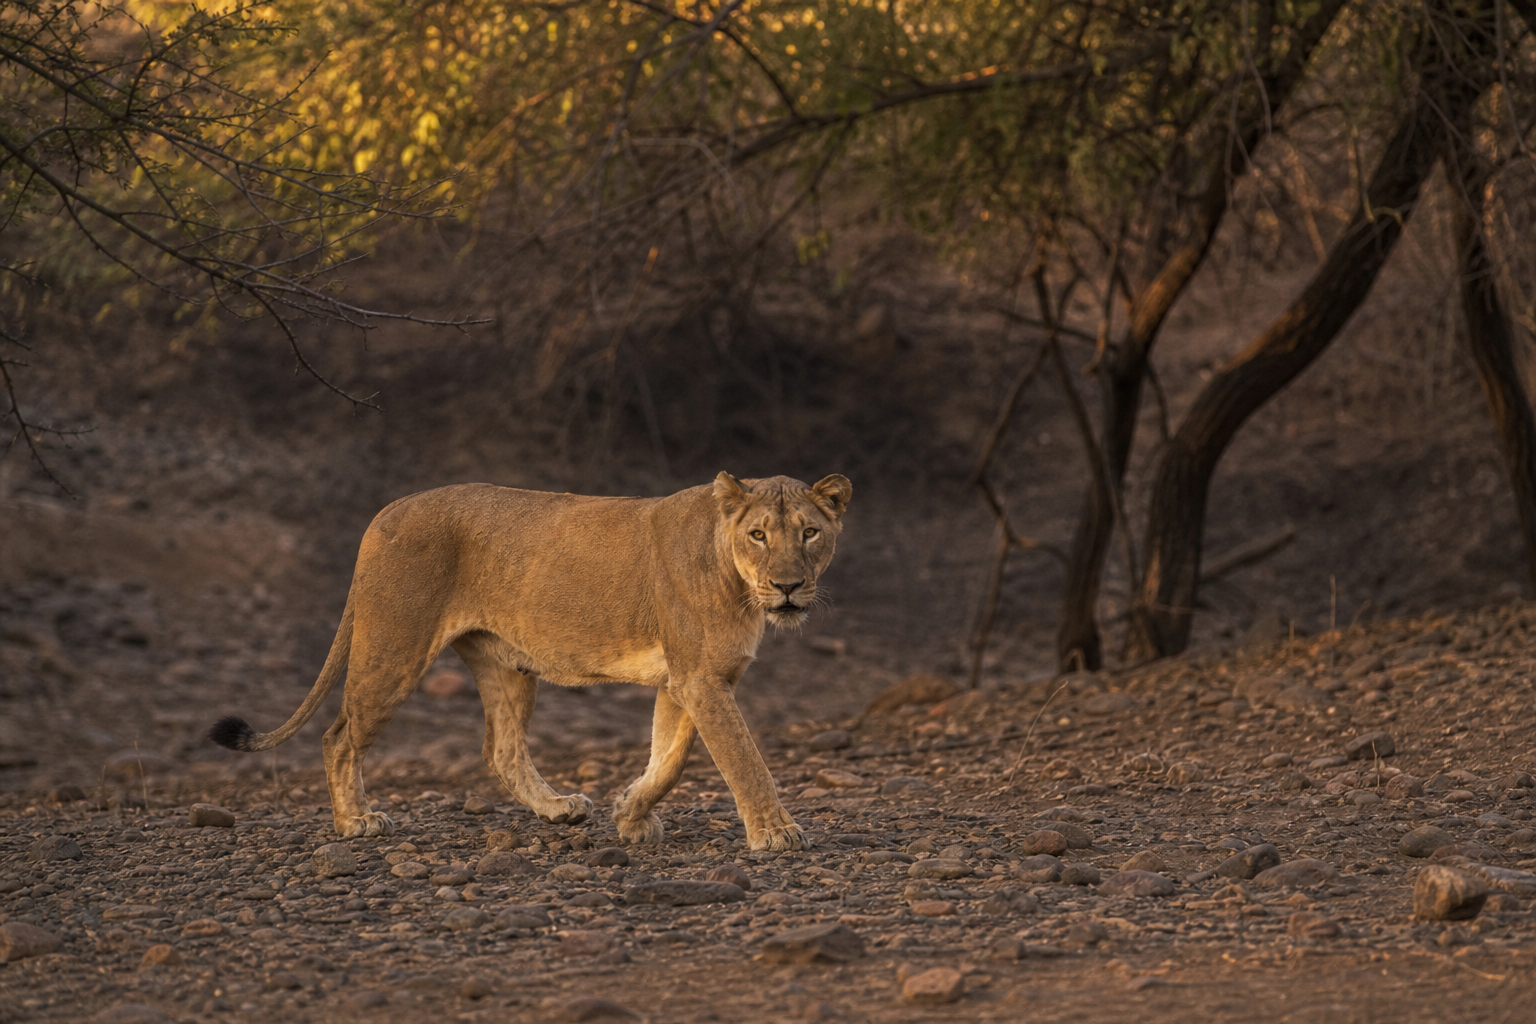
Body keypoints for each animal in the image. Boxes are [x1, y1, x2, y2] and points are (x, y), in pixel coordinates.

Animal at [208, 471, 851, 852]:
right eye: (760, 535)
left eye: (810, 533)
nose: (789, 586)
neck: (738, 582)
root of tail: (383, 514)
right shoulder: (699, 679)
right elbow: (743, 758)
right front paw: (776, 831)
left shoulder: (687, 680)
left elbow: (669, 758)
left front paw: (629, 813)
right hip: (394, 647)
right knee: (339, 735)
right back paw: (355, 823)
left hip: (507, 663)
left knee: (501, 749)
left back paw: (560, 810)